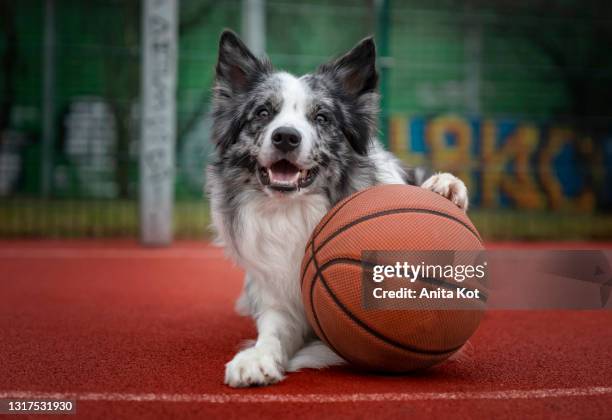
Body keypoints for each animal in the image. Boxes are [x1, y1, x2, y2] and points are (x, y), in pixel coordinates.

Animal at [206, 31, 468, 388]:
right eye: (262, 113)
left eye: (321, 118)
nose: (285, 137)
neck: (294, 211)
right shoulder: (279, 300)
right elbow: (273, 332)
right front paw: (256, 359)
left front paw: (445, 187)